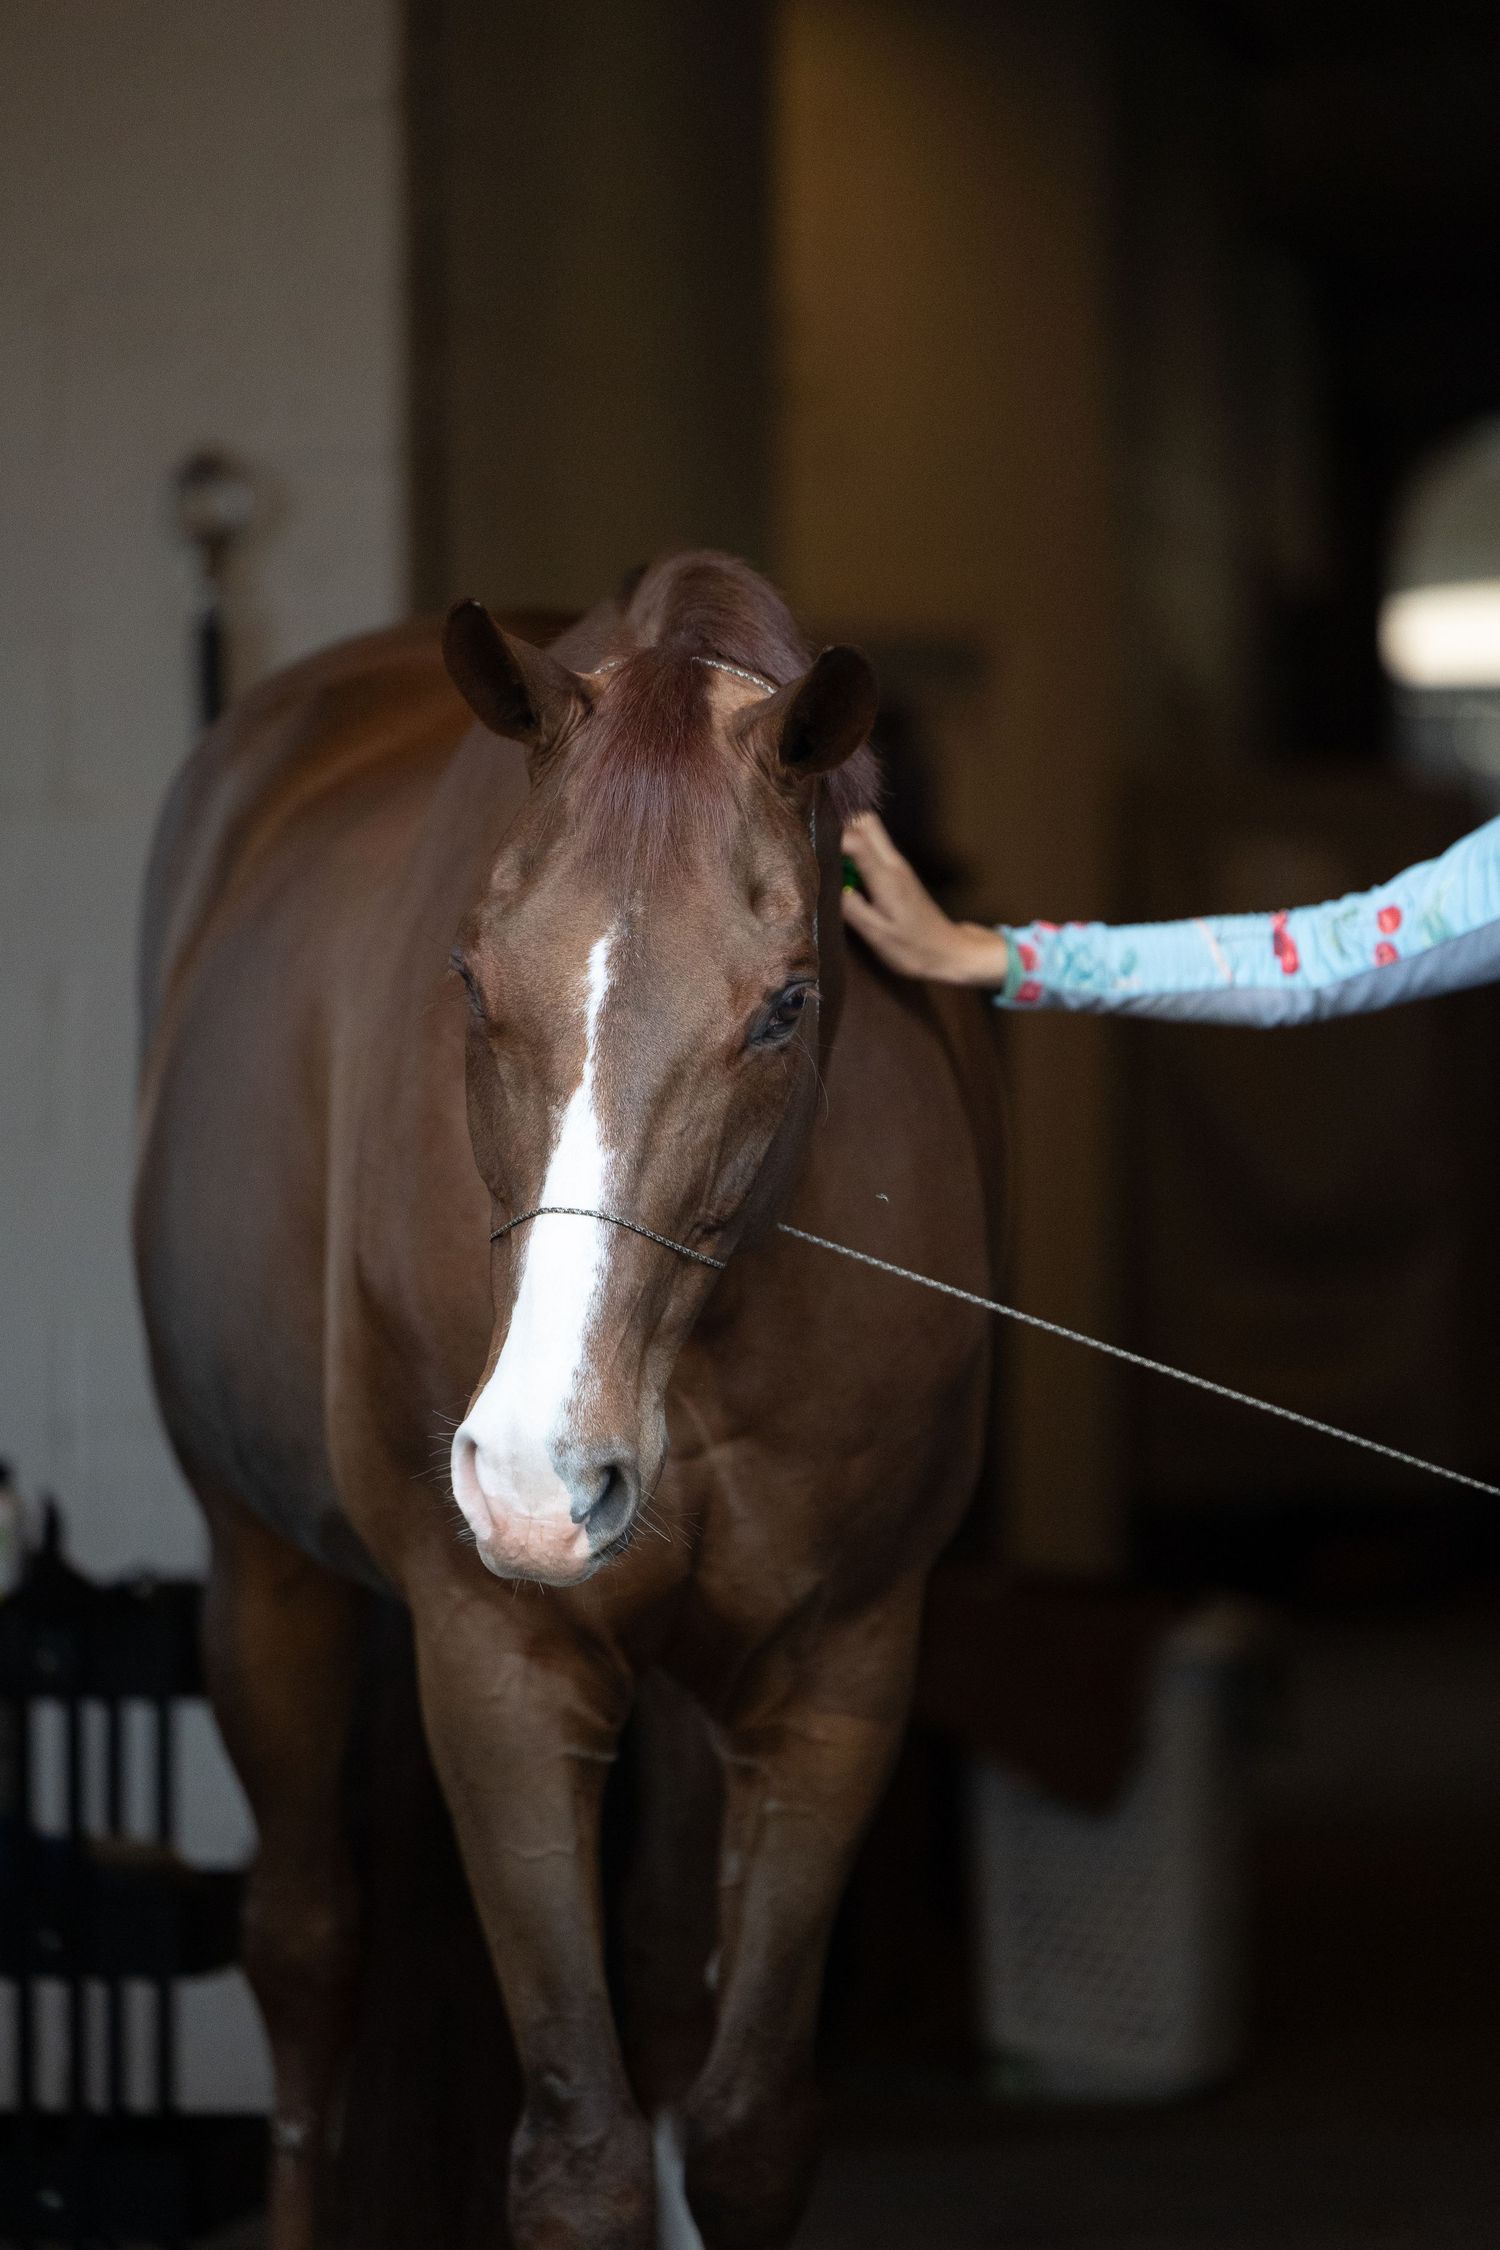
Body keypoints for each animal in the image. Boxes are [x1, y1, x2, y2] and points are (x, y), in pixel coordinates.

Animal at [133, 550, 1003, 2249]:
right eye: (473, 976)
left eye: (787, 1003)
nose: (538, 1477)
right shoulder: (502, 1670)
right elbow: (582, 2155)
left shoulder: (840, 1673)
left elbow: (743, 2132)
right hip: (263, 1582)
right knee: (305, 1953)